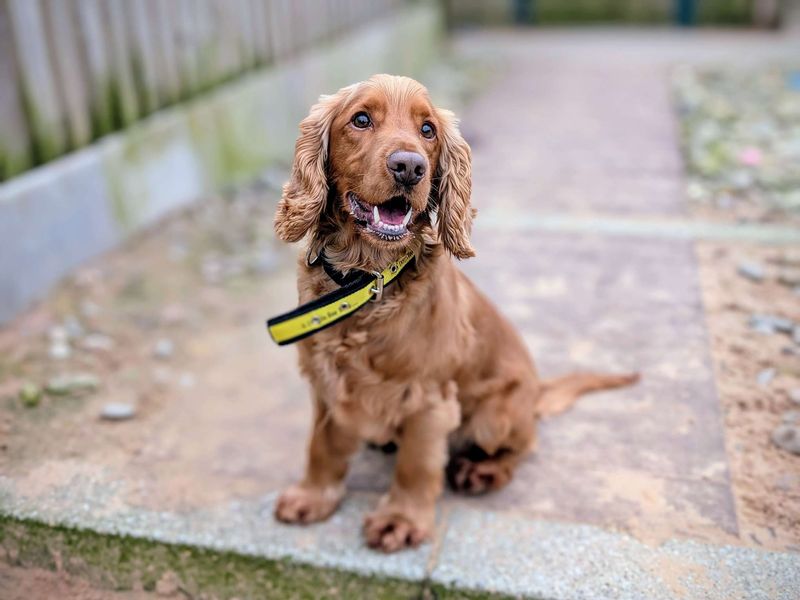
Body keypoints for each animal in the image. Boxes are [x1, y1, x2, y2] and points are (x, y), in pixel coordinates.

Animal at [272, 75, 636, 552]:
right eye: (361, 120)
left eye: (427, 130)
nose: (409, 167)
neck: (366, 279)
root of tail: (536, 392)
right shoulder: (325, 383)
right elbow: (322, 445)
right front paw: (313, 496)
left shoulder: (429, 399)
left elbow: (417, 464)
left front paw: (401, 520)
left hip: (494, 417)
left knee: (524, 446)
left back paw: (483, 470)